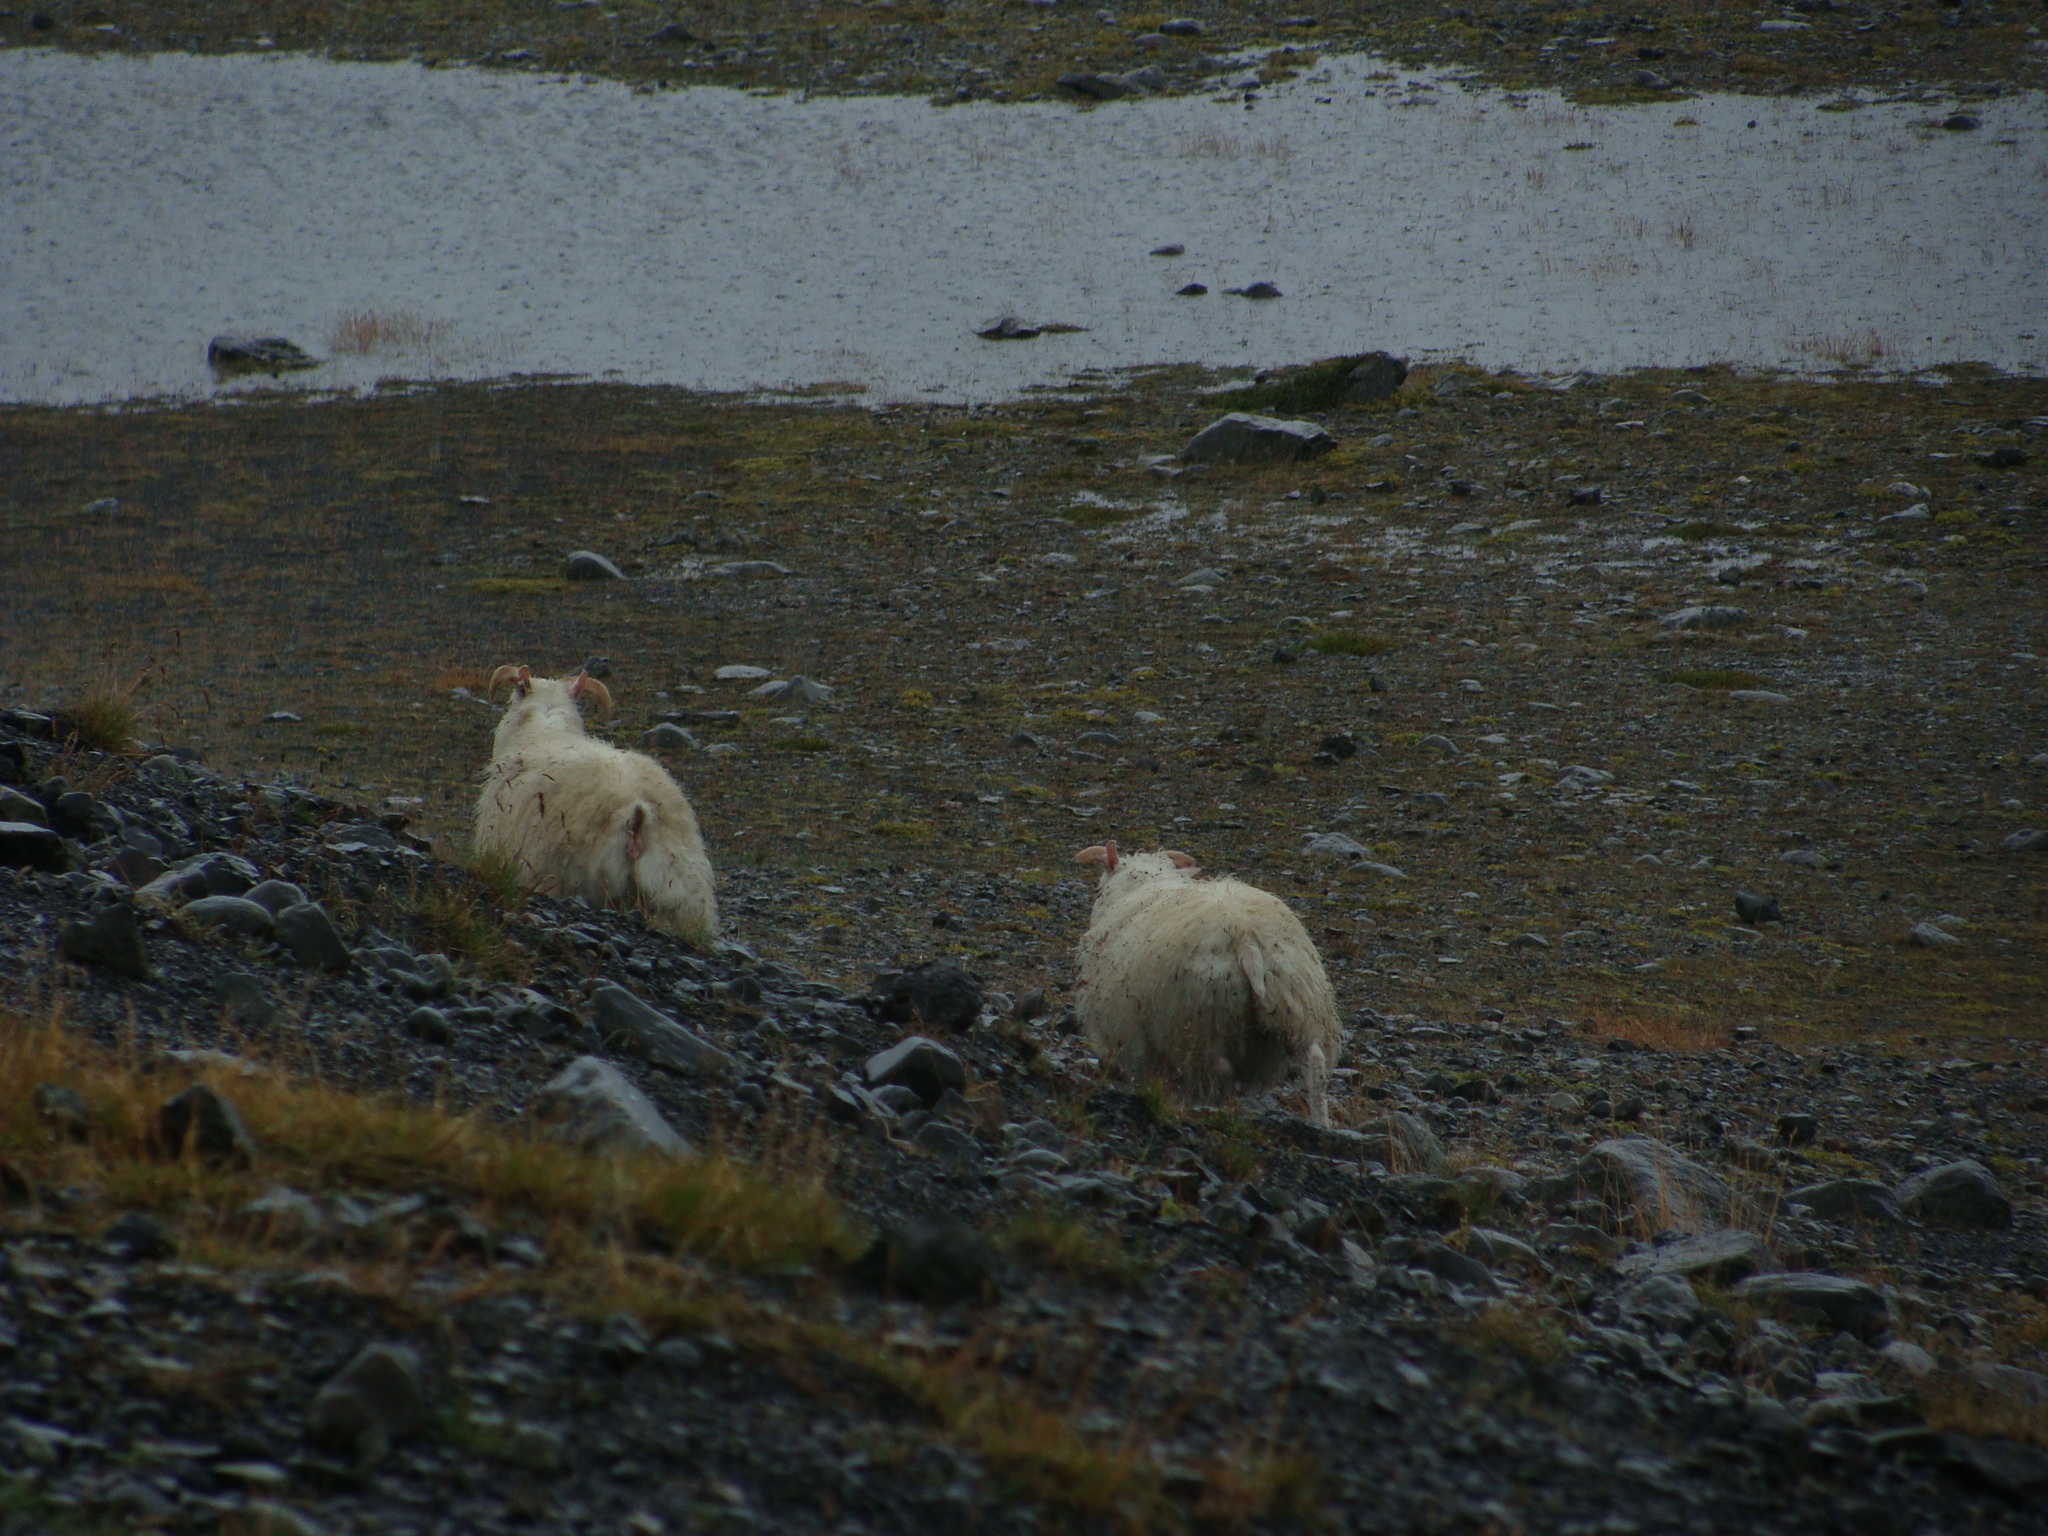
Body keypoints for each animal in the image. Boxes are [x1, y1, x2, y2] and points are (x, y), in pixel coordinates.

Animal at [1073, 843, 1343, 1130]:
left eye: (1098, 888)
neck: (1146, 883)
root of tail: (1245, 936)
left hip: (1198, 1021)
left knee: (1217, 1070)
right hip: (1298, 1002)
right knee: (1314, 1060)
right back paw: (1320, 1122)